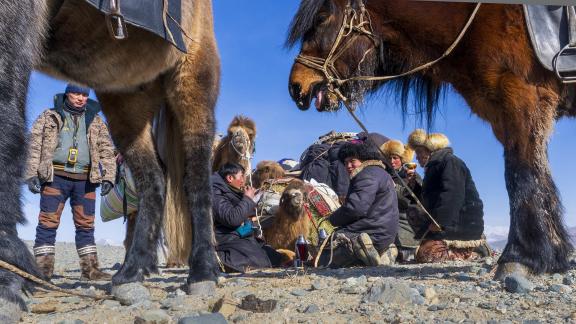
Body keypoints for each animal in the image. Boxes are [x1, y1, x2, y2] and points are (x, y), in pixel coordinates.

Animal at [0, 0, 219, 318]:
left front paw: (7, 276)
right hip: (126, 99)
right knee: (154, 180)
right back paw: (132, 271)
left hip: (193, 81)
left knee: (197, 177)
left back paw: (203, 271)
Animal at [286, 0, 572, 278]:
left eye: (322, 18)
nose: (296, 87)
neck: (472, 23)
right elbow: (538, 176)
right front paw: (553, 254)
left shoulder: (521, 100)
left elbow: (522, 175)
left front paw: (520, 256)